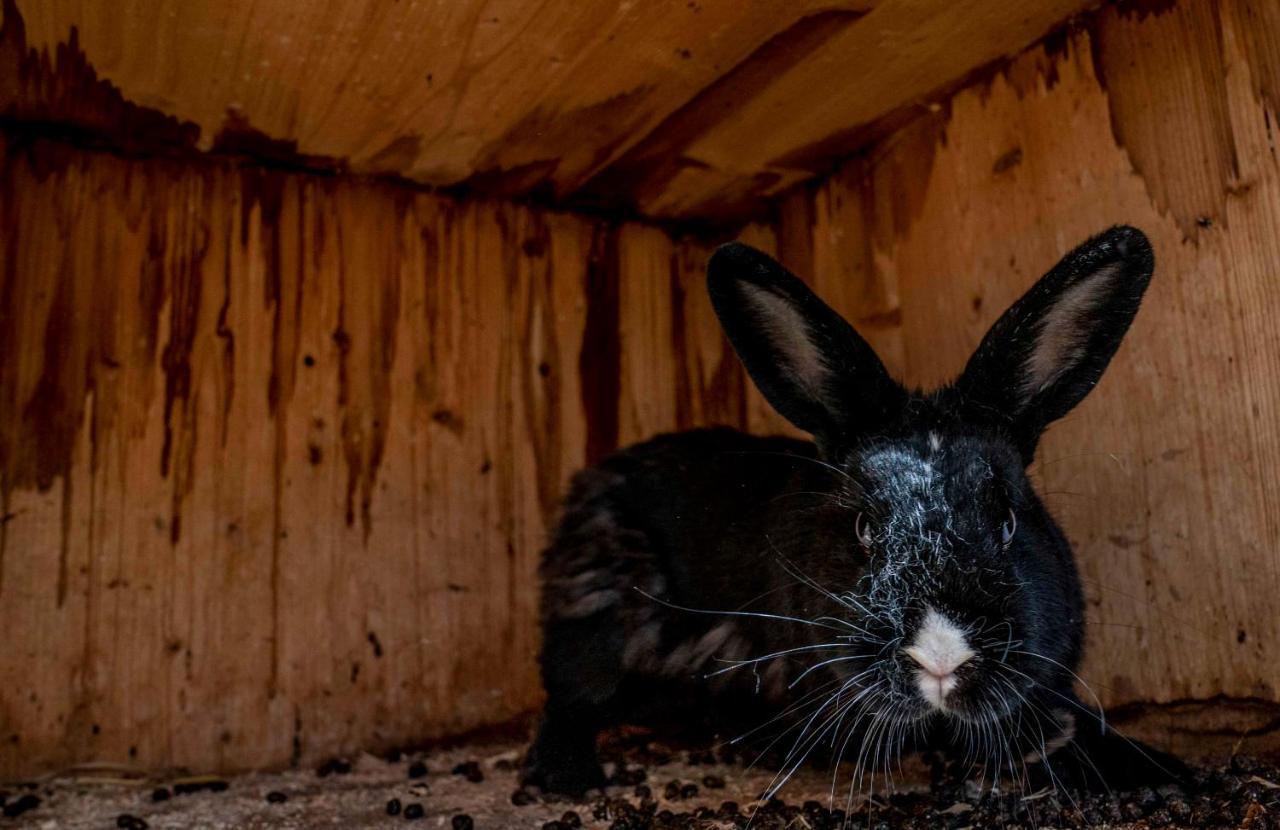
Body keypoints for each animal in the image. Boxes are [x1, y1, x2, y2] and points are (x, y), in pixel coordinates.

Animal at [519, 225, 1187, 799]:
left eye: (1006, 521)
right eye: (864, 526)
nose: (940, 657)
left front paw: (1159, 767)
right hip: (599, 601)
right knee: (572, 694)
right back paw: (567, 775)